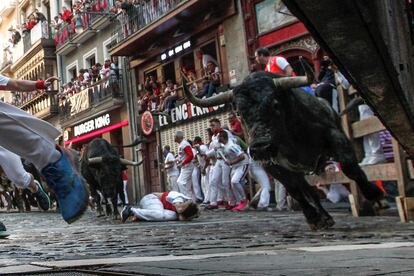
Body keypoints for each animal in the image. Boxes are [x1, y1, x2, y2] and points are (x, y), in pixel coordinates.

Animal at [183, 71, 384, 231]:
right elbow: (294, 190)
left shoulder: (334, 135)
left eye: (275, 104)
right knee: (308, 191)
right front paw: (314, 218)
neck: (289, 139)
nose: (260, 147)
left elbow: (350, 167)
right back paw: (324, 217)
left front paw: (375, 195)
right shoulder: (273, 165)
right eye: (239, 112)